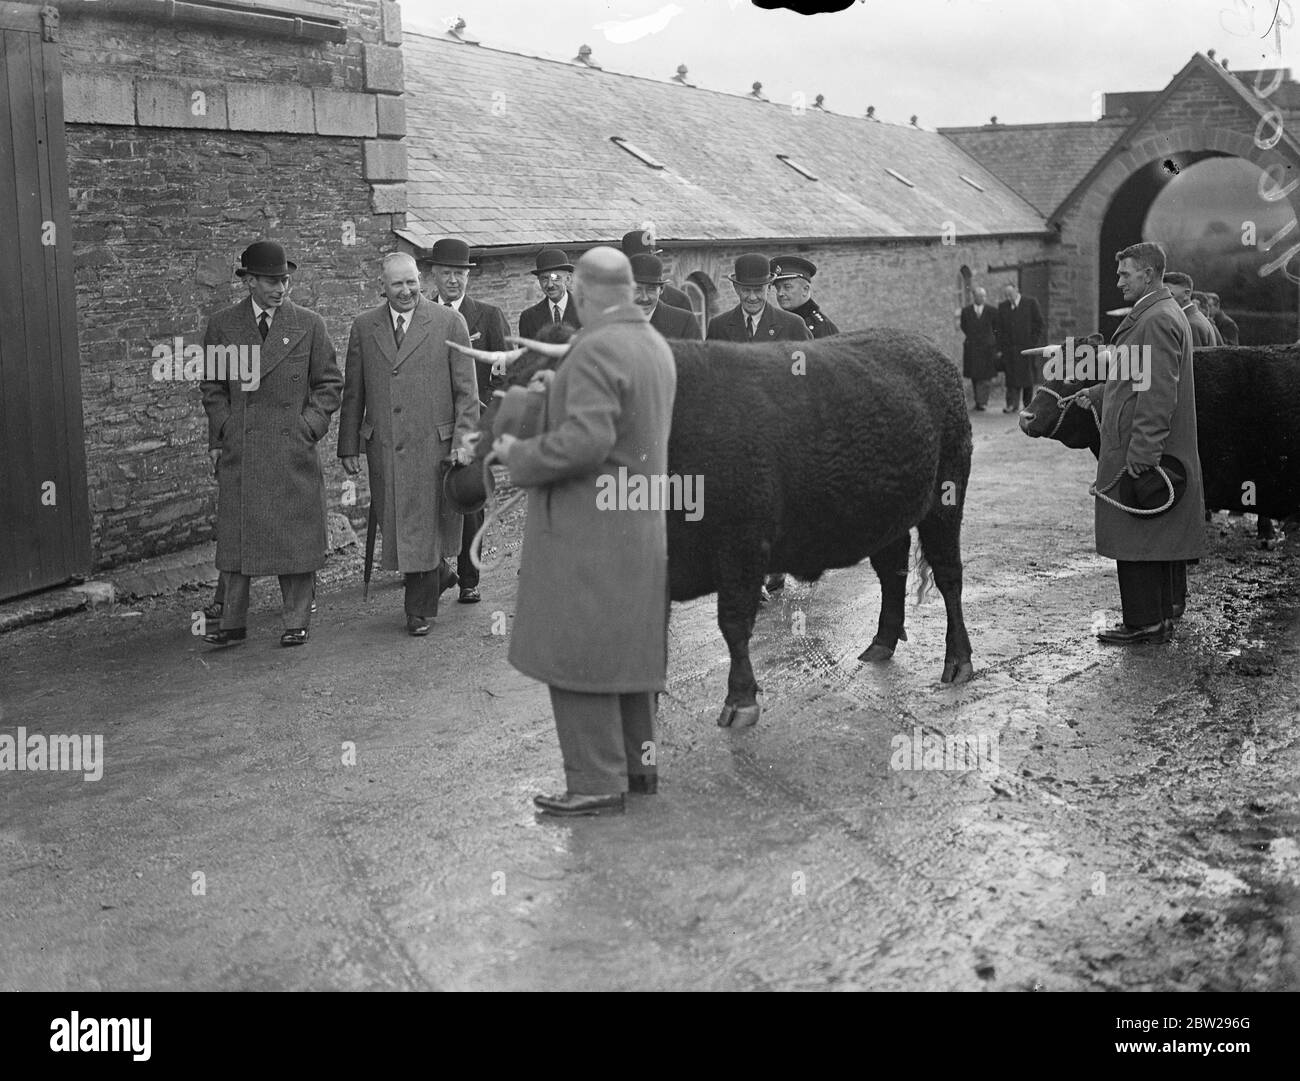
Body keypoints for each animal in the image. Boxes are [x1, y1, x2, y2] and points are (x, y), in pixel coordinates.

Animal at [457, 323, 977, 727]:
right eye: (500, 383)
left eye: (543, 386)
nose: (461, 465)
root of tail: (925, 348)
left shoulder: (742, 547)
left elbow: (733, 623)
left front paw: (740, 698)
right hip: (886, 513)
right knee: (892, 571)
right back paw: (882, 642)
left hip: (945, 498)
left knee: (949, 576)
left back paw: (958, 659)